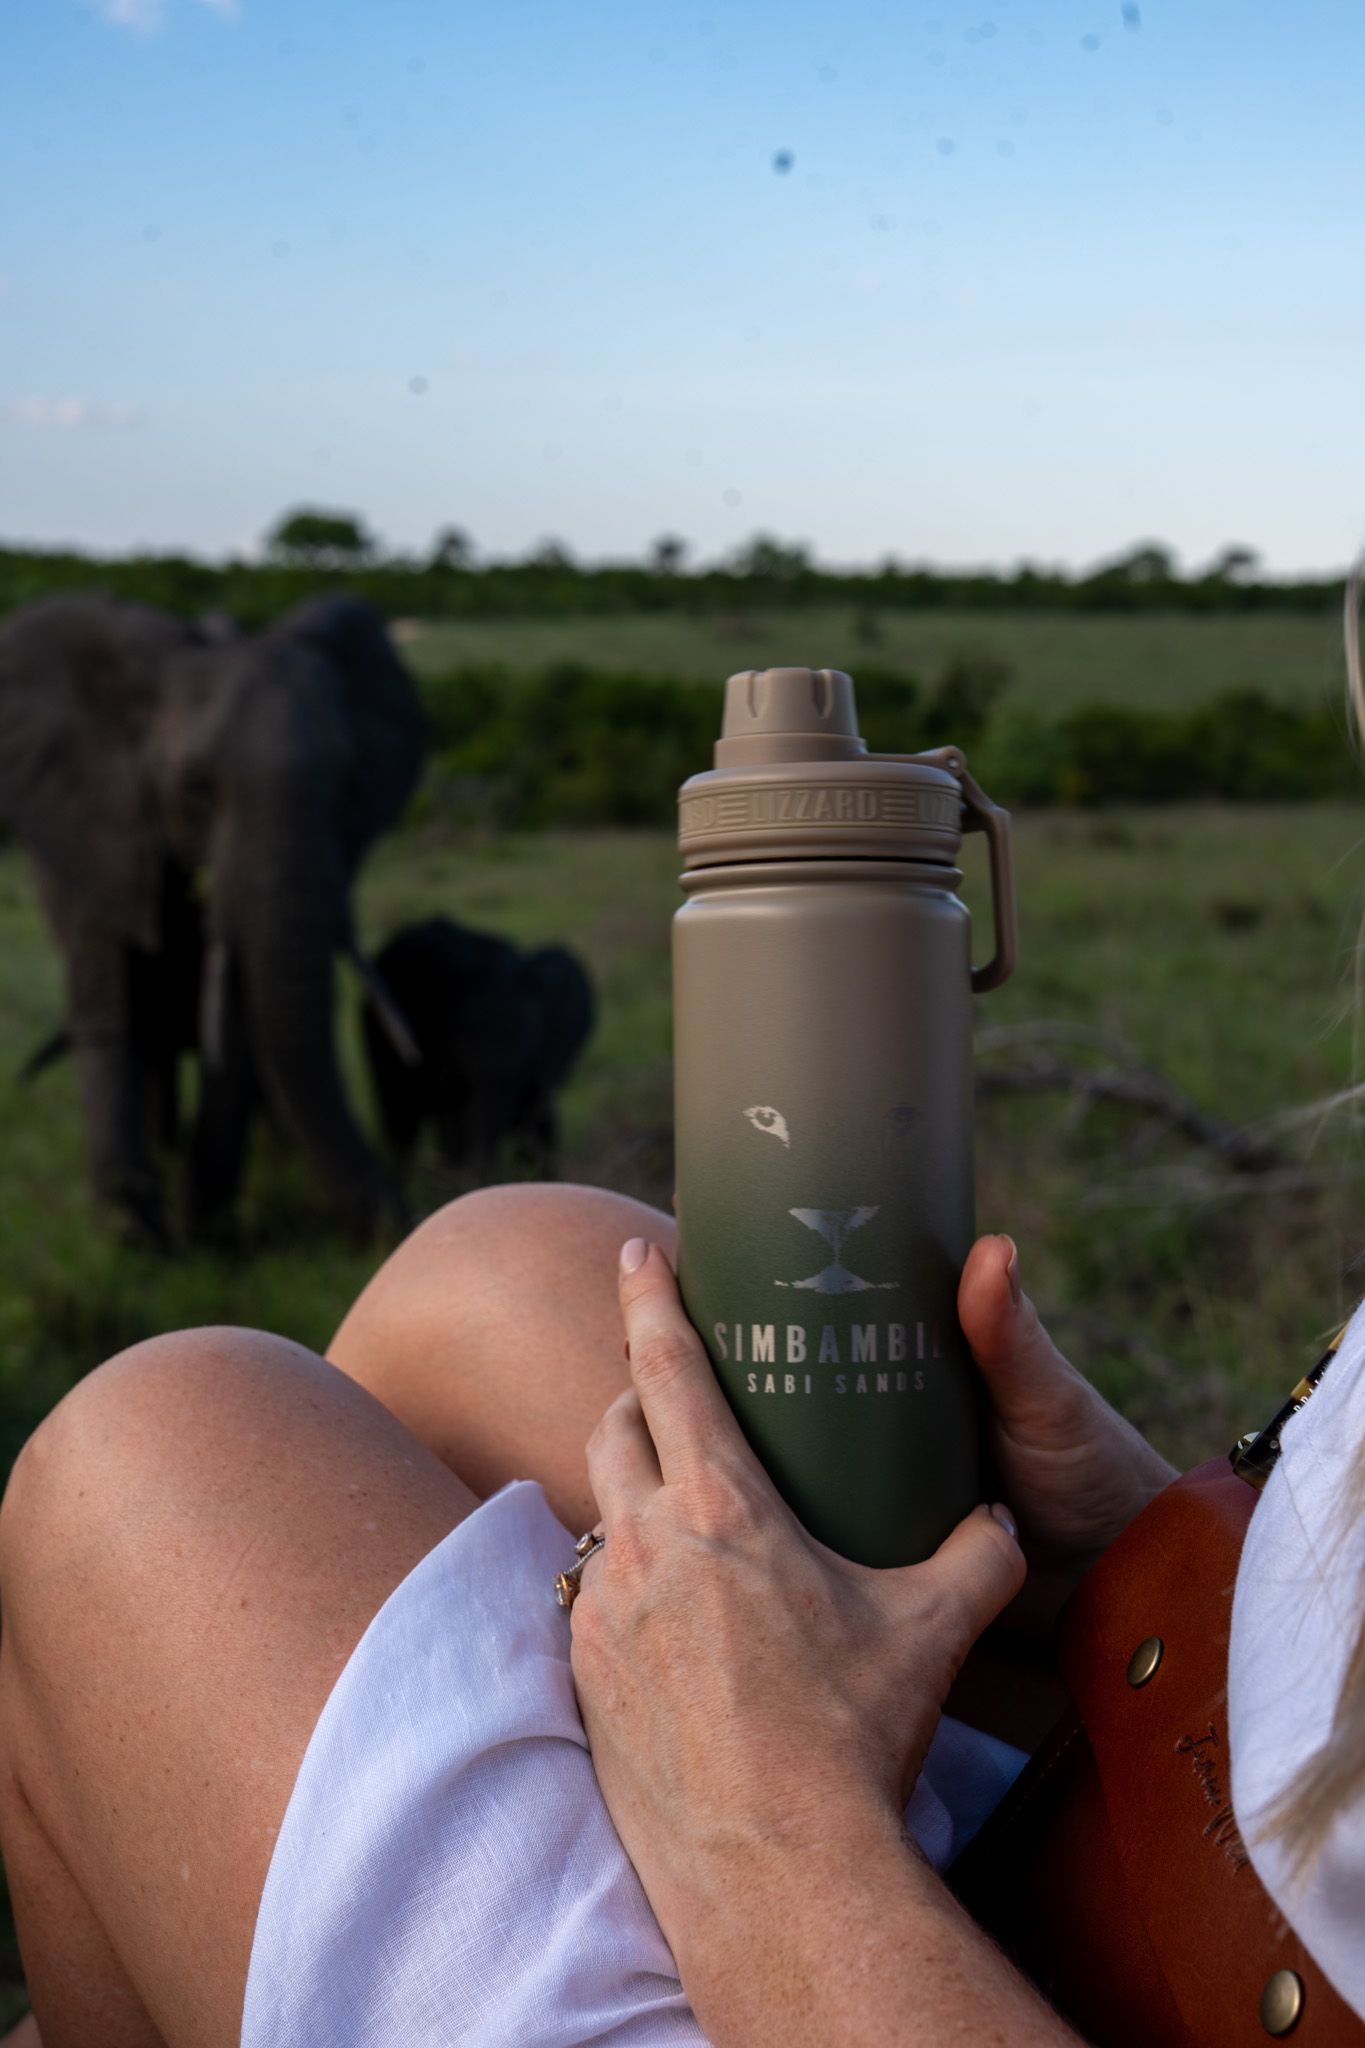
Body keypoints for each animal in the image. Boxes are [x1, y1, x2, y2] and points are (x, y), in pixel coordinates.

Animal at [0, 591, 426, 1243]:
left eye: (345, 783)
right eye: (195, 788)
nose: (400, 1222)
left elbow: (239, 1030)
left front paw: (207, 1234)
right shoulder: (99, 826)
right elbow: (116, 1004)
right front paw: (140, 1240)